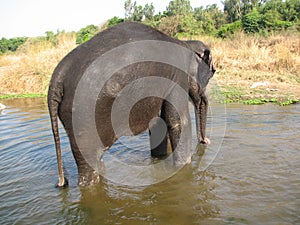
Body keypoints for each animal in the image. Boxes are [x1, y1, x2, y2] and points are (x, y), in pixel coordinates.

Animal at [47, 21, 216, 186]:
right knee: (89, 165)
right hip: (82, 115)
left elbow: (159, 124)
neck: (186, 43)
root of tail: (58, 75)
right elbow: (179, 122)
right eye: (211, 75)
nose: (206, 141)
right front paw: (183, 169)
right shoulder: (176, 77)